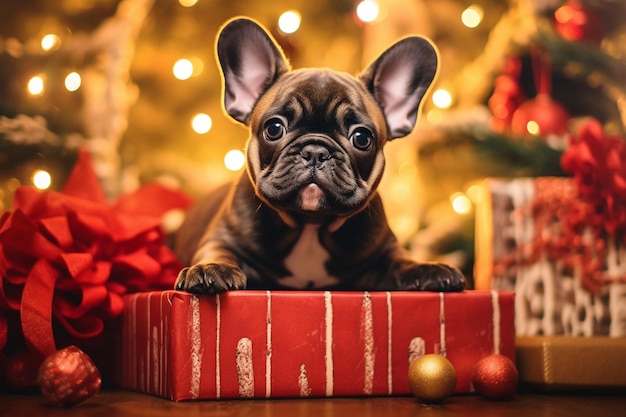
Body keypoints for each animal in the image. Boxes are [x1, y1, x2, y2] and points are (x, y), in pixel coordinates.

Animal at [173, 17, 466, 292]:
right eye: (274, 128)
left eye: (362, 138)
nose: (315, 151)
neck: (310, 226)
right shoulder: (223, 236)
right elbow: (219, 251)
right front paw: (211, 268)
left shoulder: (385, 248)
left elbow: (402, 259)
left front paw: (428, 268)